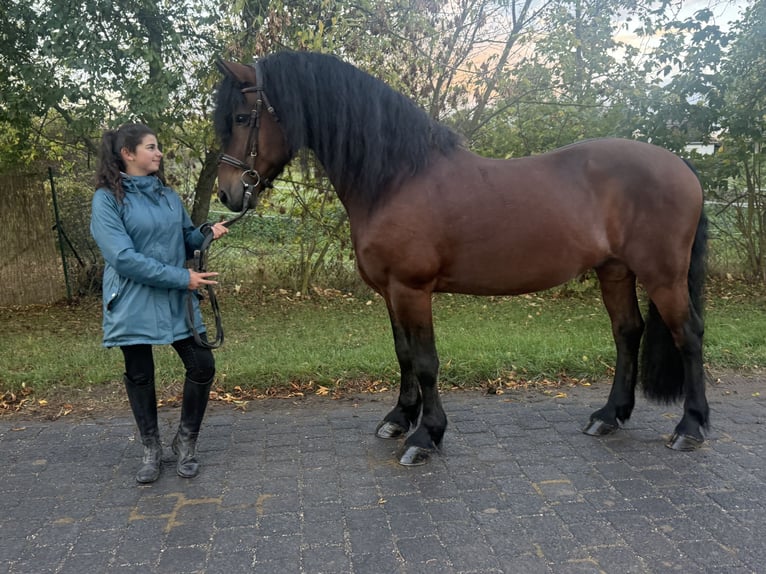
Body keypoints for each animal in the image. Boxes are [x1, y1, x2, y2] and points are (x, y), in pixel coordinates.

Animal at [213, 51, 709, 466]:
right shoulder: (389, 291)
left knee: (688, 335)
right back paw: (609, 416)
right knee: (627, 332)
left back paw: (690, 427)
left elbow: (426, 361)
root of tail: (682, 165)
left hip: (663, 275)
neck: (396, 179)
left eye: (241, 117)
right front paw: (399, 419)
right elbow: (403, 354)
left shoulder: (412, 290)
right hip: (615, 271)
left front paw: (426, 436)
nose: (227, 193)